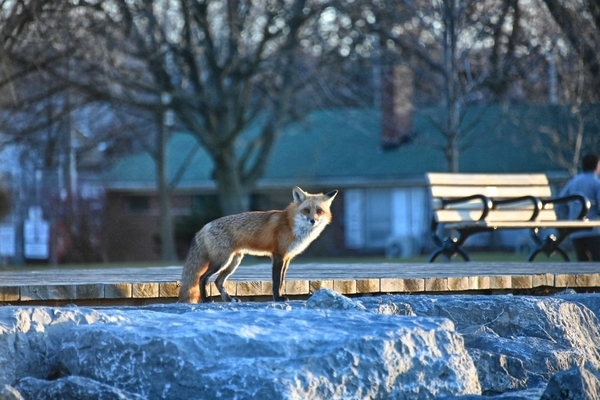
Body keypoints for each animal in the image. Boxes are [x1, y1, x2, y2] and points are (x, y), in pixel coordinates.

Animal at [178, 188, 338, 304]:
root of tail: (204, 226)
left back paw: (228, 299)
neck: (291, 225)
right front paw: (277, 298)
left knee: (218, 281)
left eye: (319, 211)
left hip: (233, 262)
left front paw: (280, 296)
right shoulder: (278, 255)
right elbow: (276, 282)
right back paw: (206, 299)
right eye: (306, 210)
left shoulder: (287, 258)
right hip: (221, 261)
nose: (313, 221)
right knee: (202, 278)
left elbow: (281, 281)